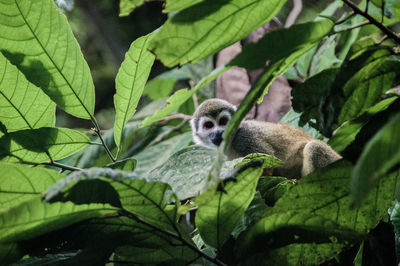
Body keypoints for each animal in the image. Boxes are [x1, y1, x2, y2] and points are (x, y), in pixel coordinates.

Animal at [191, 98, 340, 178]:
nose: (219, 133)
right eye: (209, 125)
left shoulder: (244, 137)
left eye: (223, 121)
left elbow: (267, 163)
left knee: (314, 147)